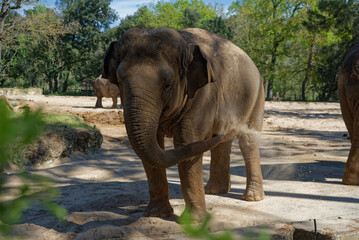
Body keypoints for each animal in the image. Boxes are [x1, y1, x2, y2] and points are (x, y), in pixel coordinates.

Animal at [102, 27, 266, 220]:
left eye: (167, 85)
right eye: (119, 81)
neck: (184, 42)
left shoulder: (204, 95)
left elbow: (187, 142)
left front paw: (195, 221)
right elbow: (154, 145)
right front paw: (156, 214)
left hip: (257, 96)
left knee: (248, 142)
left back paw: (252, 198)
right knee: (222, 144)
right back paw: (214, 191)